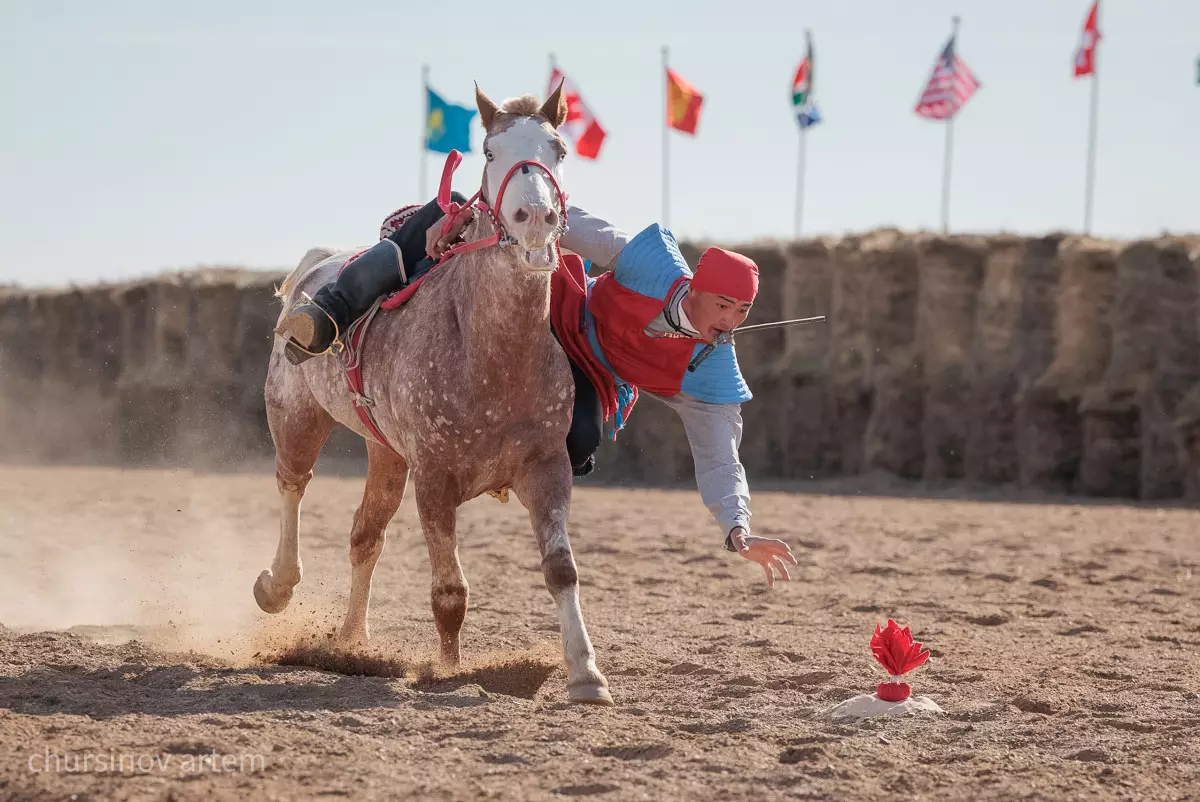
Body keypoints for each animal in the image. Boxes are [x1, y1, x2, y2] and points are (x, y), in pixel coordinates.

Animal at [253, 81, 609, 705]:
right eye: (490, 152)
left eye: (560, 149)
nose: (535, 217)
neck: (492, 359)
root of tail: (314, 269)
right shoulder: (434, 478)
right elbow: (450, 592)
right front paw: (447, 669)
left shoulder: (547, 468)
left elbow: (561, 570)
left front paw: (586, 673)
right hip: (296, 417)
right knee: (293, 487)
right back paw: (279, 585)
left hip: (385, 454)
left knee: (364, 537)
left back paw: (352, 641)